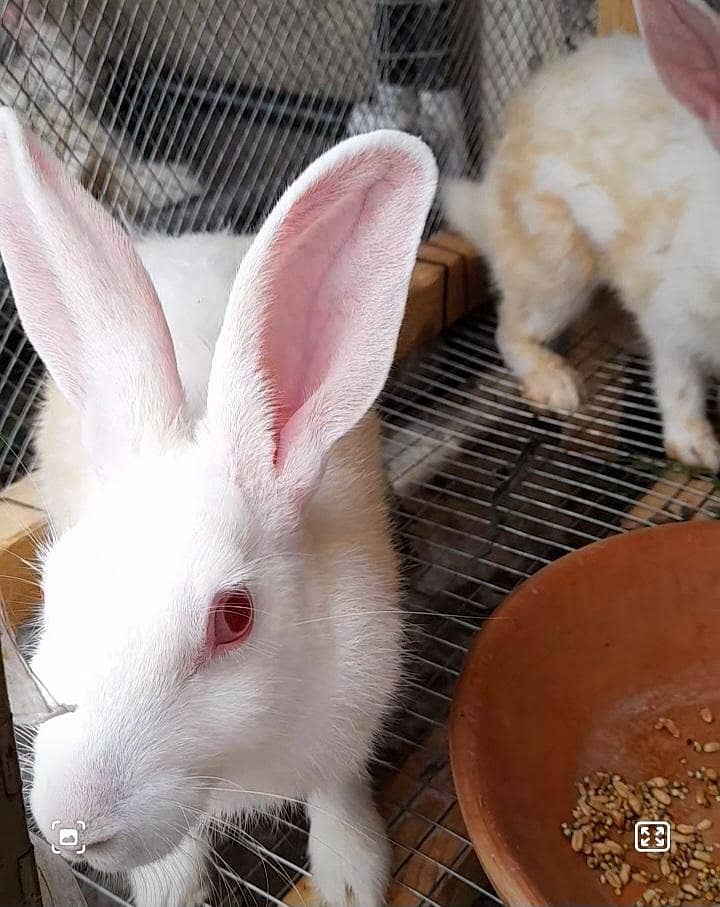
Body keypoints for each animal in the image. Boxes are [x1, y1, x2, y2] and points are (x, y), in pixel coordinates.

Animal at [0, 107, 437, 907]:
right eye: (53, 589)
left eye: (234, 618)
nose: (73, 825)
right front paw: (168, 892)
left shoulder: (351, 717)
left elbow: (337, 791)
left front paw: (351, 877)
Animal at [444, 0, 720, 473]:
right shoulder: (670, 311)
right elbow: (679, 383)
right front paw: (697, 449)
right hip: (557, 268)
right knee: (511, 331)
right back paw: (557, 384)